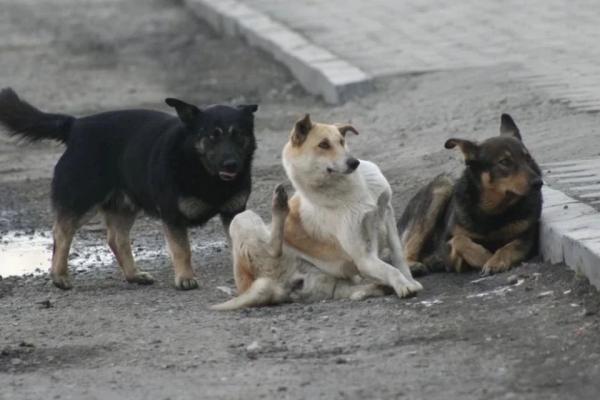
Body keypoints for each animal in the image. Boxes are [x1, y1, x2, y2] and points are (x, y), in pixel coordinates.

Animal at [0, 87, 255, 290]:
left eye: (238, 135)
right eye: (213, 136)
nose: (231, 164)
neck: (203, 170)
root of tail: (76, 125)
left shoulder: (233, 212)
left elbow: (239, 242)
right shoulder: (172, 217)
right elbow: (183, 249)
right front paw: (185, 278)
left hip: (125, 205)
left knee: (116, 238)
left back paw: (133, 275)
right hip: (83, 200)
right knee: (62, 232)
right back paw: (59, 276)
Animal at [398, 112, 544, 276]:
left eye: (528, 158)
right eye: (504, 162)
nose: (538, 182)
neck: (494, 211)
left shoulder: (527, 238)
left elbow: (509, 247)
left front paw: (495, 261)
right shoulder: (447, 248)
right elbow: (459, 239)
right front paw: (484, 257)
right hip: (442, 186)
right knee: (409, 245)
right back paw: (412, 265)